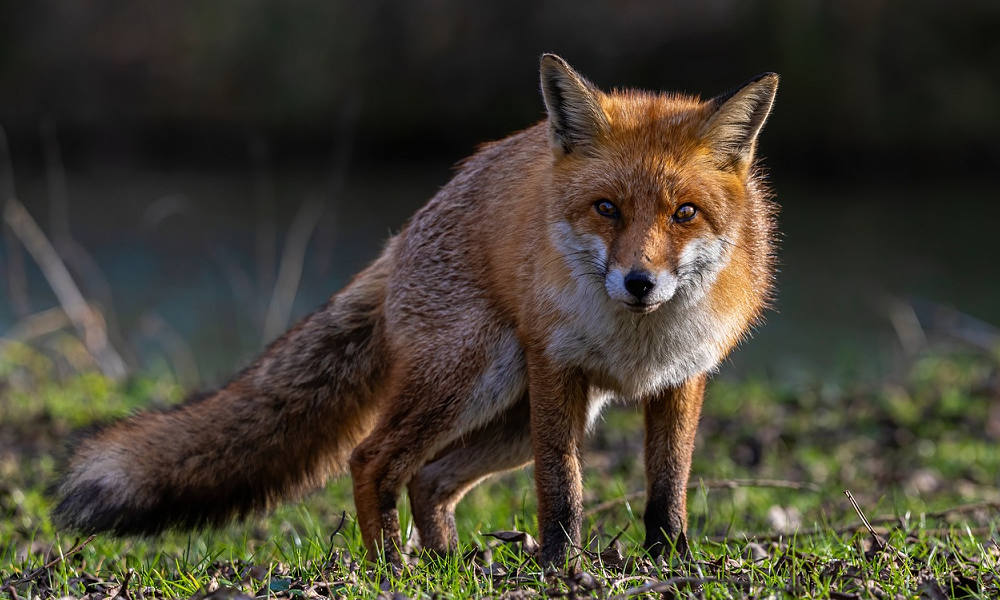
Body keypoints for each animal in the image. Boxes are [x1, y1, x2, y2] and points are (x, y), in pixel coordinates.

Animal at [54, 54, 780, 564]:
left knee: (429, 477)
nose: (639, 282)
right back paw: (391, 568)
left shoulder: (682, 378)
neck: (637, 341)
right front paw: (560, 566)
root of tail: (402, 234)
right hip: (478, 380)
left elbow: (667, 489)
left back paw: (448, 563)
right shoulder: (556, 368)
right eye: (607, 208)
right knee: (374, 460)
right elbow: (562, 488)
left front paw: (670, 563)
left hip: (516, 415)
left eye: (684, 213)